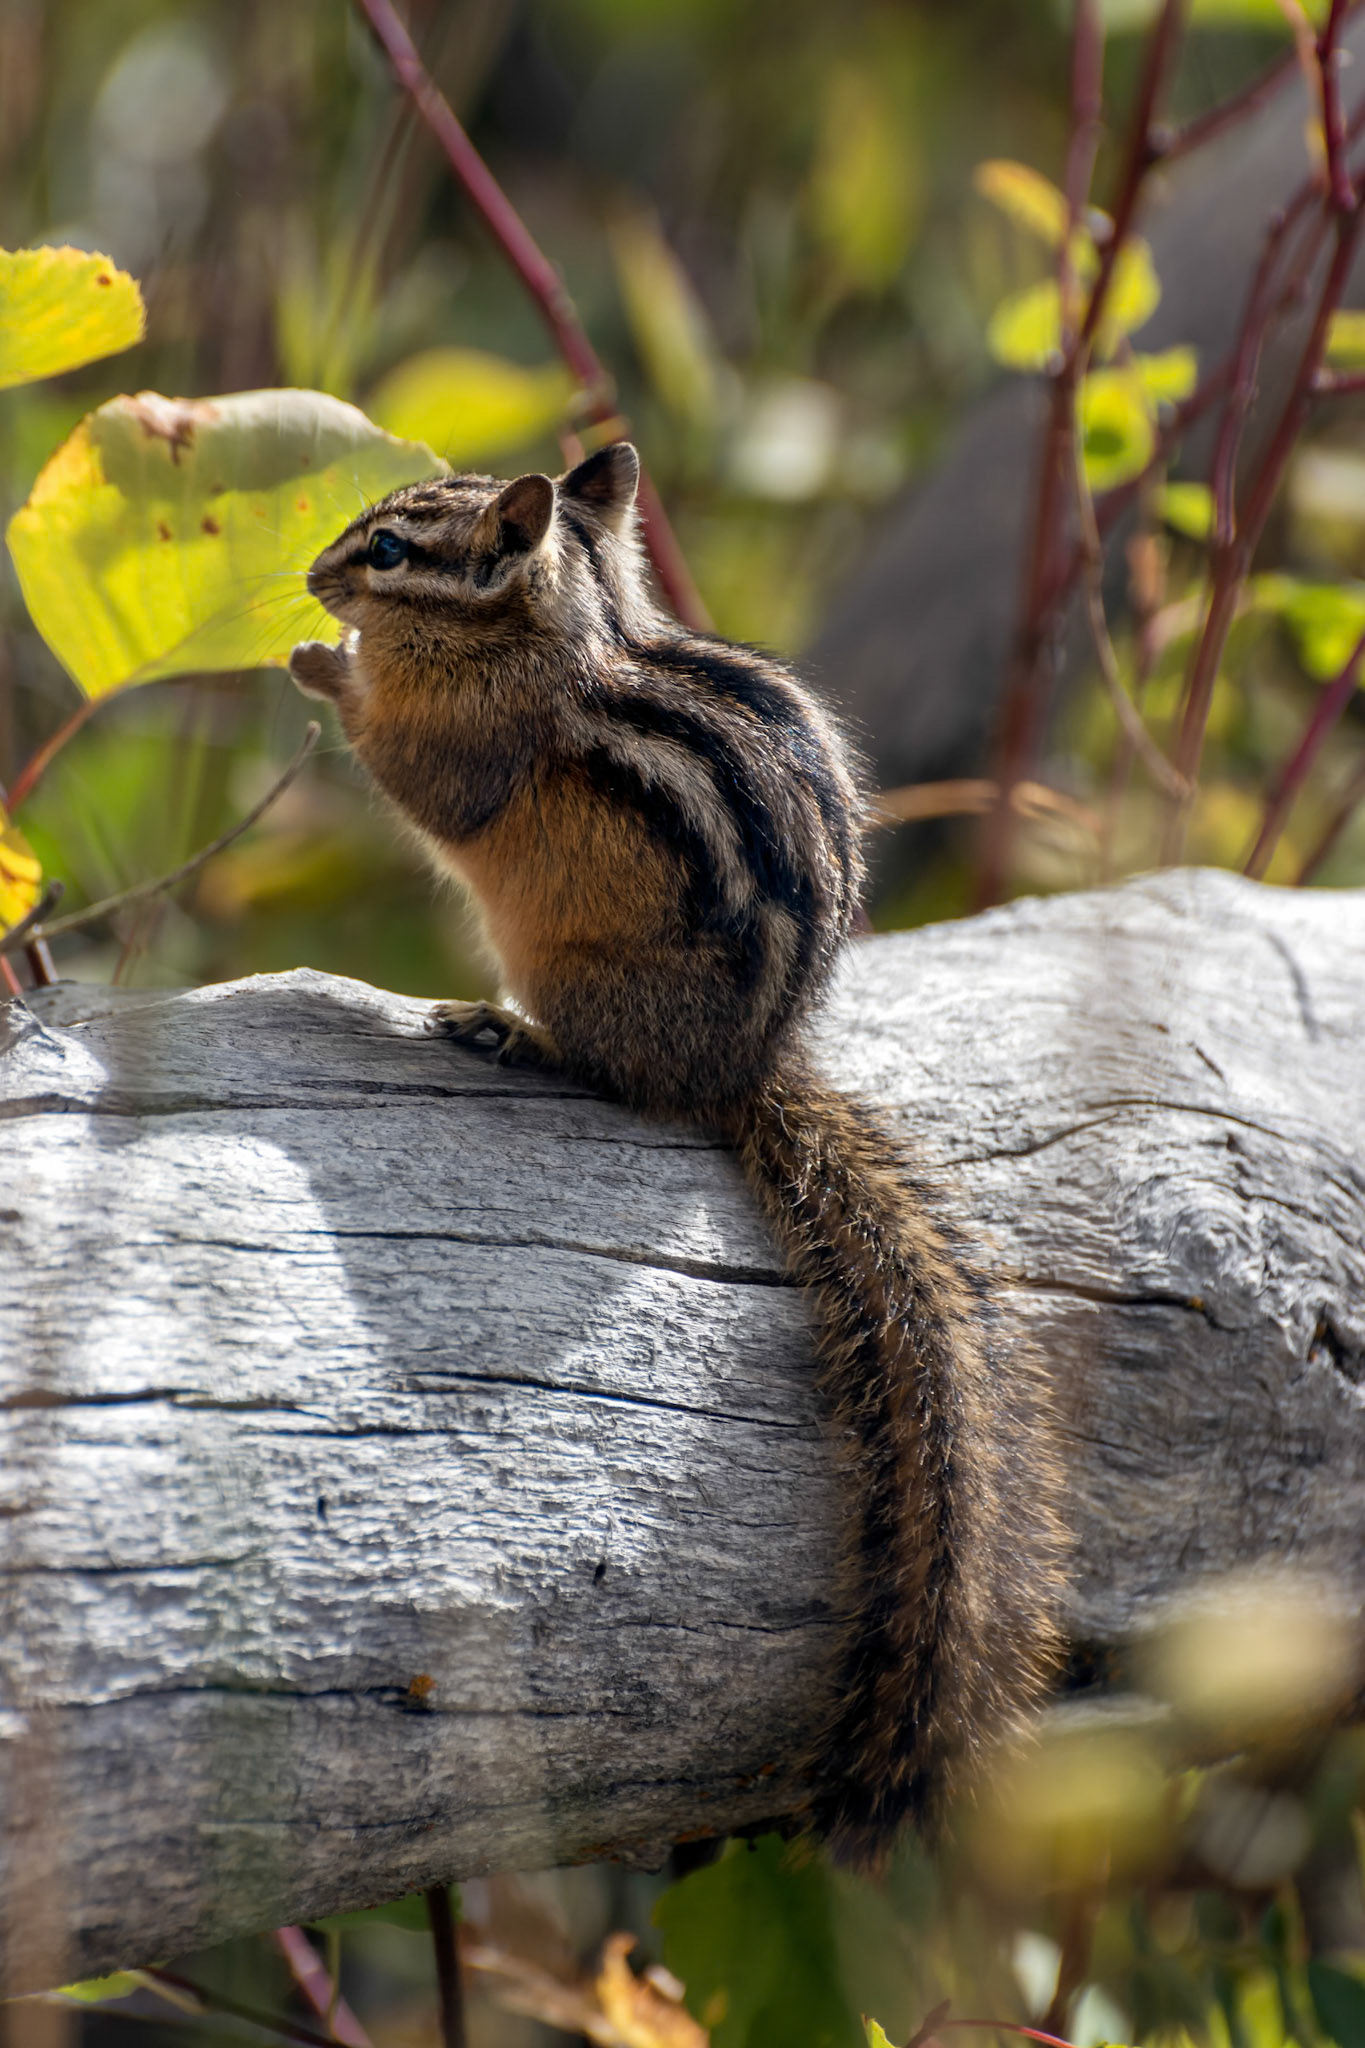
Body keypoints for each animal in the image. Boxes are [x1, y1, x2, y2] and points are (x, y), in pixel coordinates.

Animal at [288, 439, 1067, 1868]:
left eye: (389, 552)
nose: (315, 577)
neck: (565, 632)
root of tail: (739, 1073)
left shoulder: (471, 743)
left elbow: (420, 774)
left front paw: (326, 665)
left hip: (577, 975)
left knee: (608, 1070)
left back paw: (507, 1028)